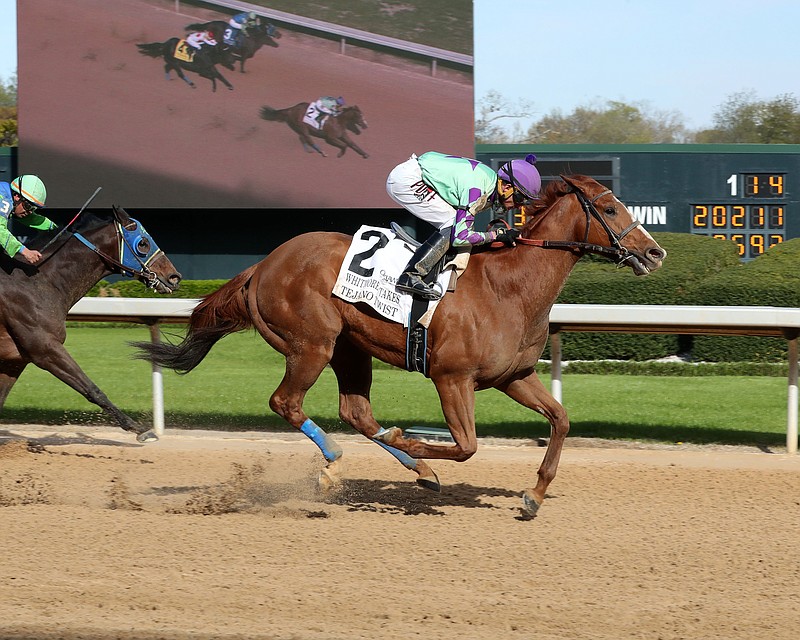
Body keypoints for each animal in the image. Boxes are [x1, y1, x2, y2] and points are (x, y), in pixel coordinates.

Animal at [0, 208, 181, 442]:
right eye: (143, 244)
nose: (174, 277)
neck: (36, 281)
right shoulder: (44, 348)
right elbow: (92, 389)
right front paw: (140, 428)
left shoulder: (15, 360)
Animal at [134, 176, 664, 520]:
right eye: (611, 210)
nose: (655, 253)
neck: (509, 286)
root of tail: (261, 266)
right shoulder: (452, 377)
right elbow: (468, 446)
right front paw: (410, 440)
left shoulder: (514, 376)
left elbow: (561, 419)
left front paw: (533, 496)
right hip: (312, 343)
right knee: (287, 402)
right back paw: (344, 461)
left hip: (350, 348)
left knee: (355, 412)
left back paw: (415, 469)